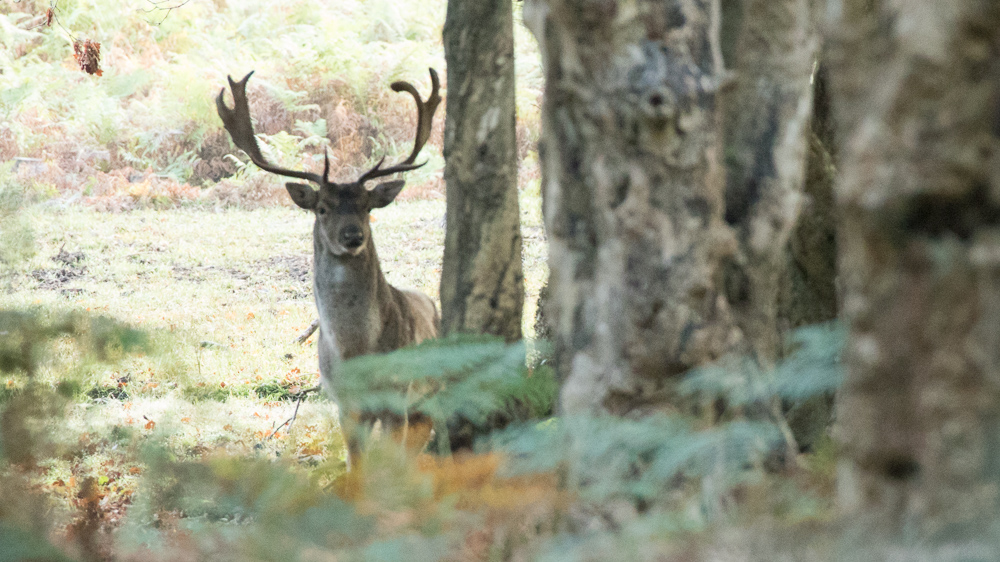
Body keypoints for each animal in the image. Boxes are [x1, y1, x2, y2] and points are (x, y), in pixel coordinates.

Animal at [216, 69, 442, 467]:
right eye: (322, 208)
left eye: (367, 206)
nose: (353, 236)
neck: (356, 351)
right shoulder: (344, 404)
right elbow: (358, 468)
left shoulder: (397, 397)